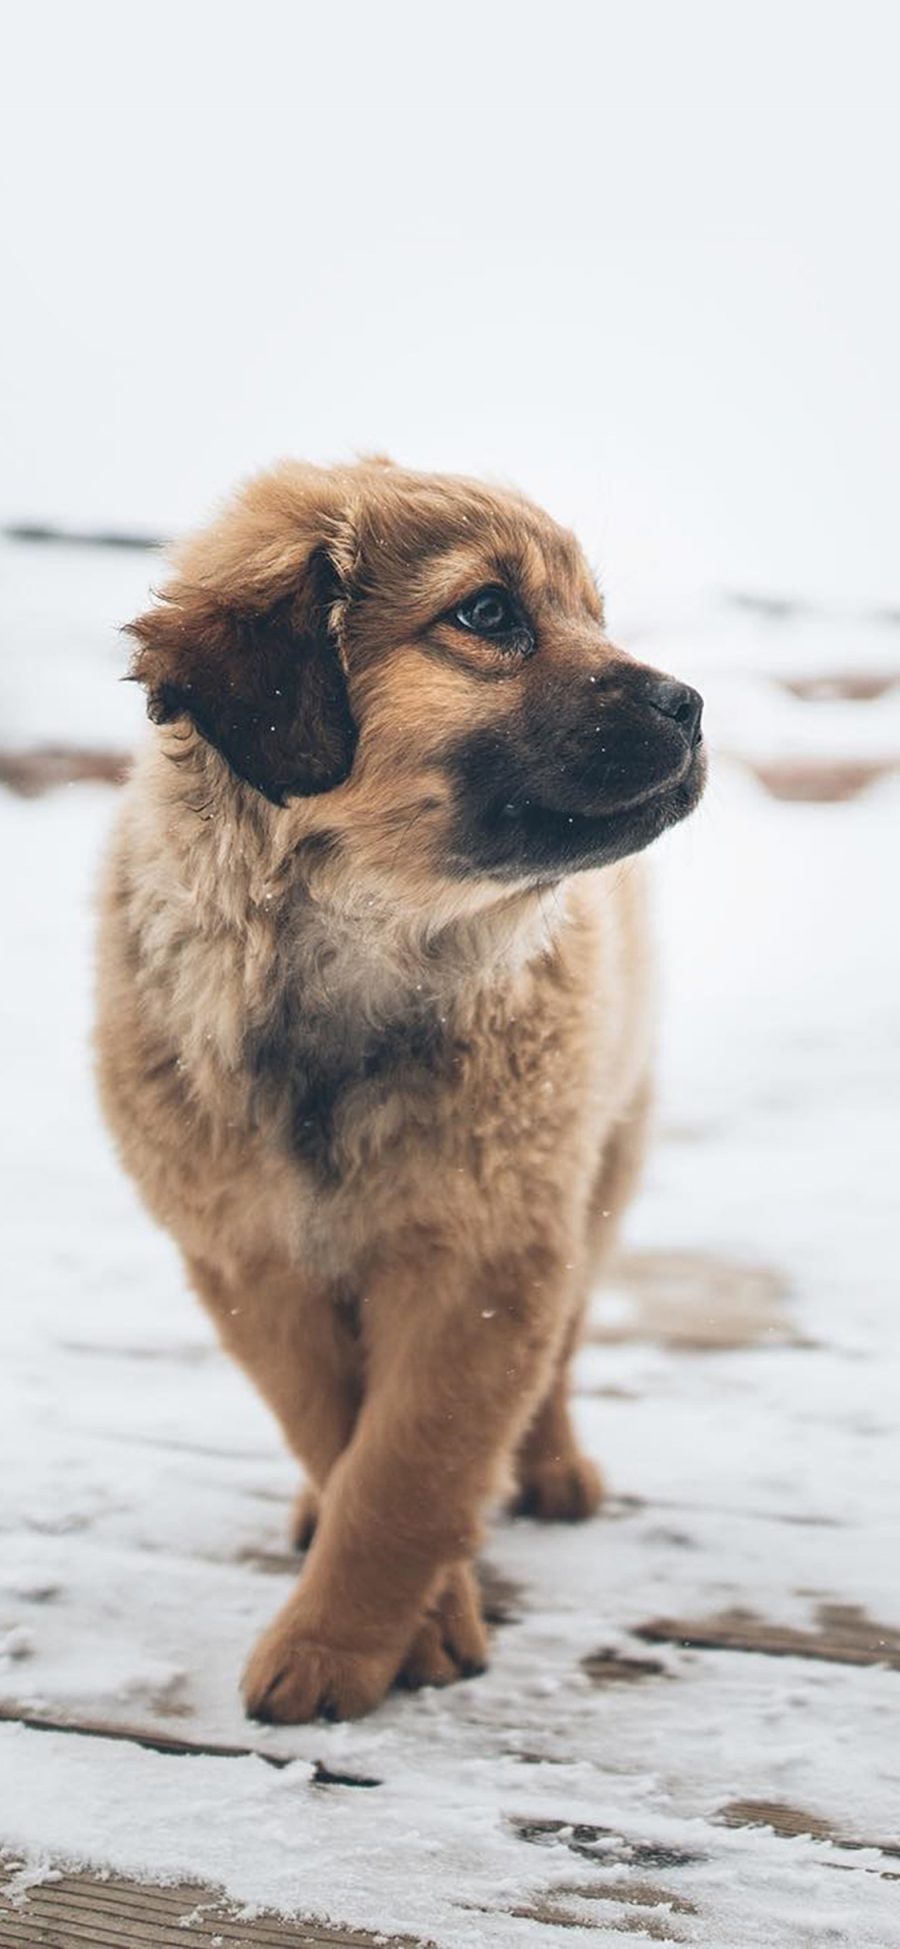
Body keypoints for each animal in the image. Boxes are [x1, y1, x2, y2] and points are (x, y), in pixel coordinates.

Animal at [94, 459, 705, 1722]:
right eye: (488, 613)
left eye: (593, 614)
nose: (691, 705)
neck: (354, 955)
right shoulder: (253, 1260)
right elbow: (340, 1434)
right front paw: (392, 1620)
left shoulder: (488, 1254)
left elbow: (412, 1463)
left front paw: (341, 1644)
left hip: (601, 1167)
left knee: (563, 1348)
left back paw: (552, 1464)